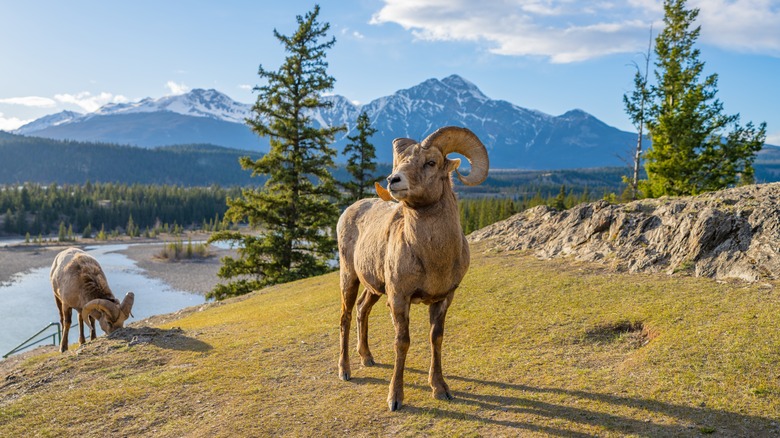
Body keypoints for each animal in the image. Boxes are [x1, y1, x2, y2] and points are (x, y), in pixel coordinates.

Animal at [336, 126, 488, 410]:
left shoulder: (443, 299)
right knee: (346, 317)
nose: (393, 180)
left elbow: (435, 338)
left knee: (362, 310)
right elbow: (402, 342)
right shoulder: (399, 298)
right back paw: (345, 371)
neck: (432, 259)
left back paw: (367, 358)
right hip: (349, 278)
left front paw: (440, 389)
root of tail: (348, 211)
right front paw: (395, 399)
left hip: (374, 288)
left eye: (431, 162)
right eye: (400, 163)